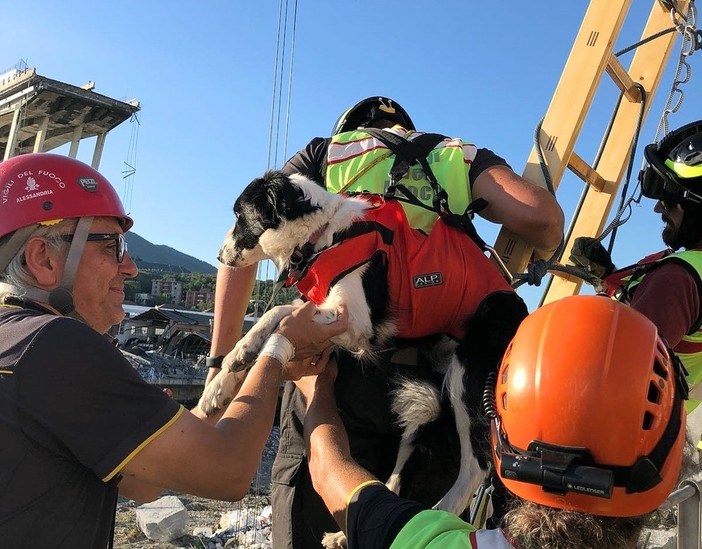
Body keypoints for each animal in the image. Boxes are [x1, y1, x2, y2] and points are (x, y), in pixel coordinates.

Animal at [198, 170, 528, 532]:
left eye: (239, 215)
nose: (218, 257)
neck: (324, 235)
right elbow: (274, 315)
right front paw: (226, 374)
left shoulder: (355, 320)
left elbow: (282, 316)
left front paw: (240, 358)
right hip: (426, 402)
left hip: (466, 375)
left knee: (475, 467)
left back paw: (438, 513)